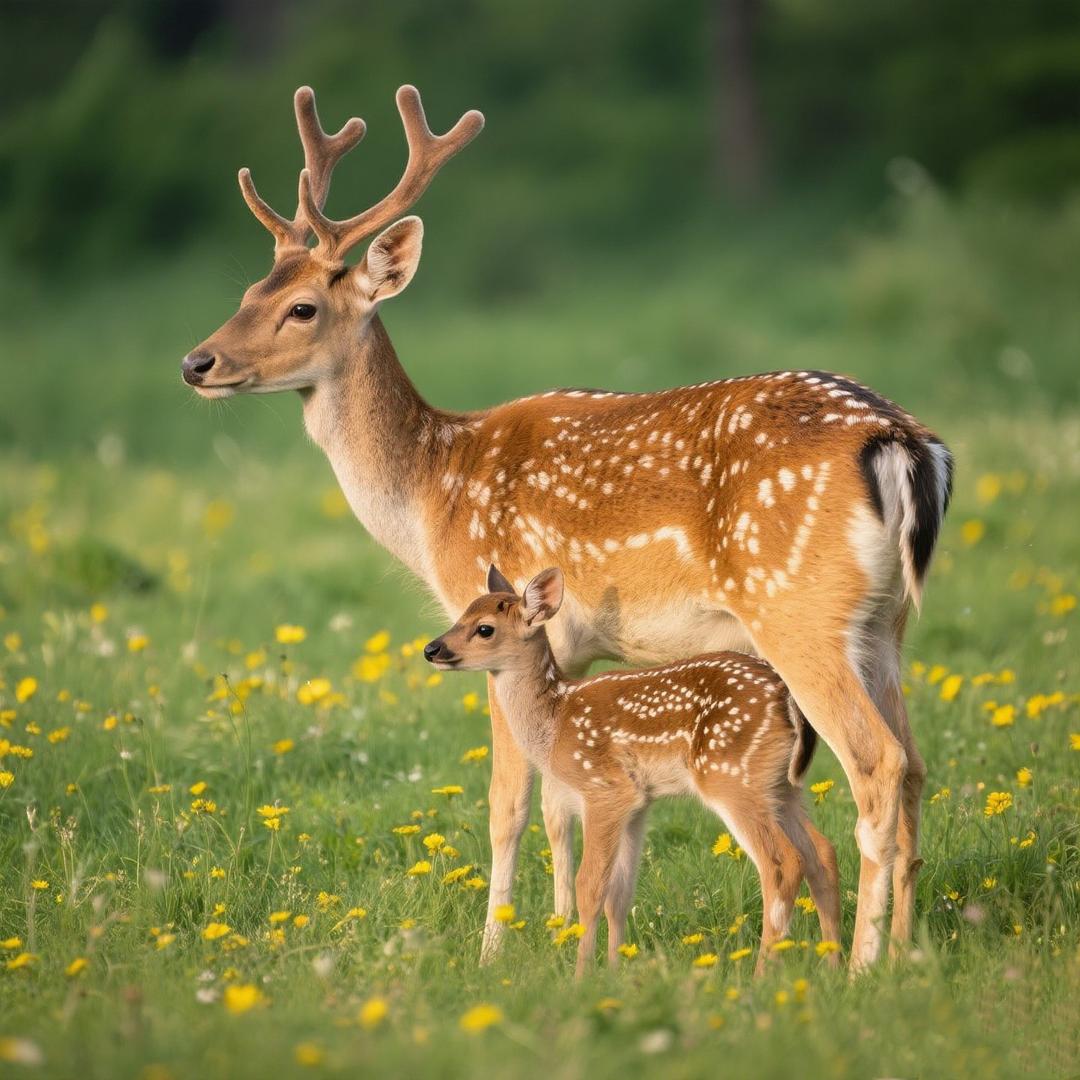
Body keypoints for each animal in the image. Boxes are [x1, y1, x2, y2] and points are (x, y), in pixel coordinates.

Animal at [425, 565, 842, 977]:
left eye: (484, 629)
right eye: (462, 614)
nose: (432, 649)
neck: (554, 722)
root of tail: (785, 698)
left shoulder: (603, 787)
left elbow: (590, 886)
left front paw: (581, 976)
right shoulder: (638, 802)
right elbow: (619, 893)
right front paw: (614, 969)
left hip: (731, 775)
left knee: (782, 863)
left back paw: (762, 974)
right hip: (781, 786)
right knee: (822, 852)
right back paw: (833, 965)